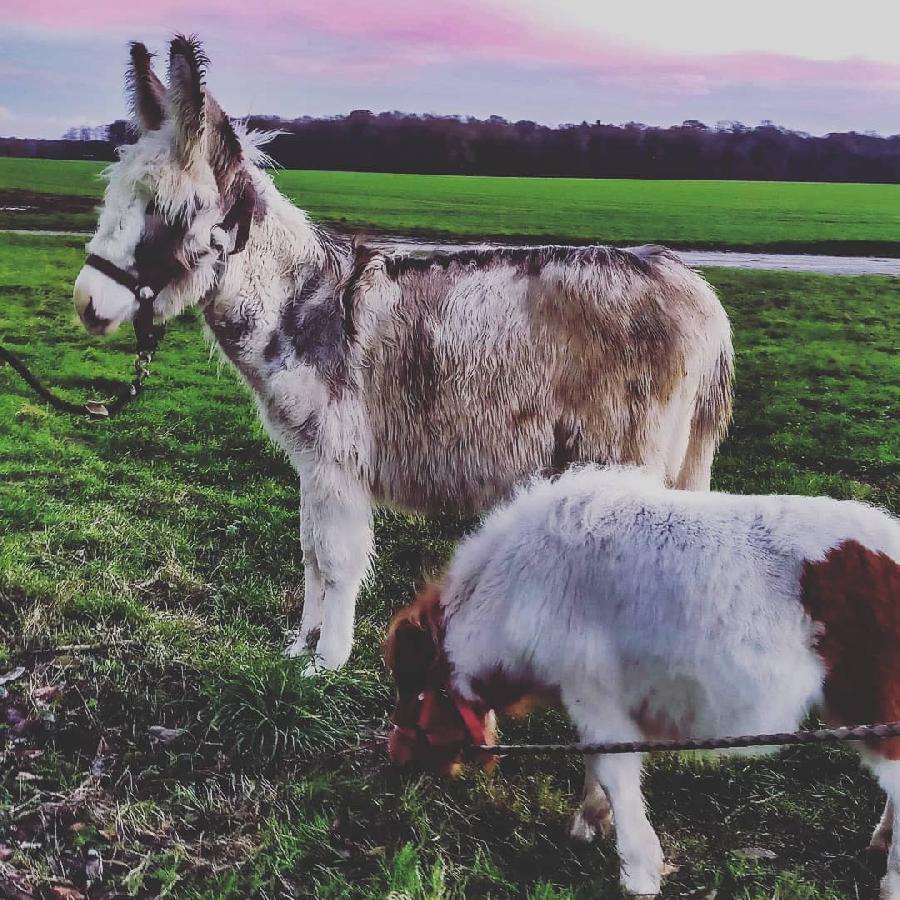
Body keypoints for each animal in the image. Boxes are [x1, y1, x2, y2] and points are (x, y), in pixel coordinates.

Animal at [68, 37, 732, 668]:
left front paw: (325, 664)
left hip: (626, 460)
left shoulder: (338, 461)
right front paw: (299, 648)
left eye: (165, 208)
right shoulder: (312, 463)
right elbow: (310, 553)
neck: (300, 304)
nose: (86, 303)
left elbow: (336, 559)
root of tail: (692, 288)